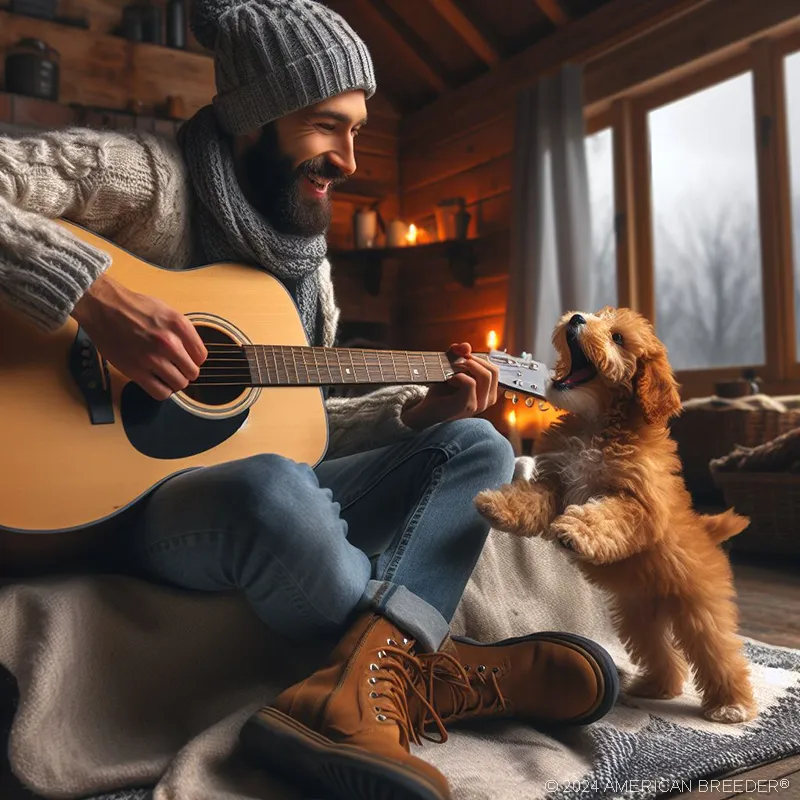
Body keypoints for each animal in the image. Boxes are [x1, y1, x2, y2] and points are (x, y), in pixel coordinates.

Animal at [476, 310, 756, 720]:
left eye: (618, 338)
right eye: (595, 317)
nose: (576, 317)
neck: (598, 422)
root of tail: (707, 532)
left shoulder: (637, 504)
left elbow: (606, 514)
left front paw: (575, 531)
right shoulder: (556, 484)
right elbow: (533, 499)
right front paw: (497, 505)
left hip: (698, 604)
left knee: (717, 650)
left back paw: (731, 706)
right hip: (639, 613)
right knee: (660, 651)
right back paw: (657, 686)